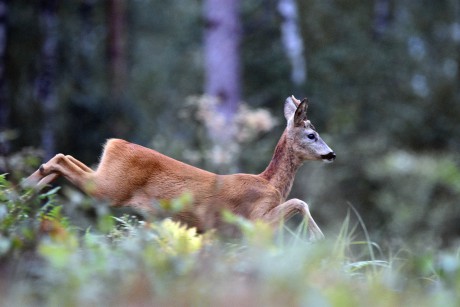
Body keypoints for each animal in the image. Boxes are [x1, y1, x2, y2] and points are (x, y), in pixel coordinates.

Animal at [25, 96, 334, 241]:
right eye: (312, 135)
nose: (331, 154)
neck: (270, 183)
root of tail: (115, 143)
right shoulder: (254, 218)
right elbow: (299, 201)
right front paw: (317, 236)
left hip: (106, 176)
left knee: (65, 157)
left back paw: (25, 189)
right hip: (110, 188)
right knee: (62, 159)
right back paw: (25, 189)